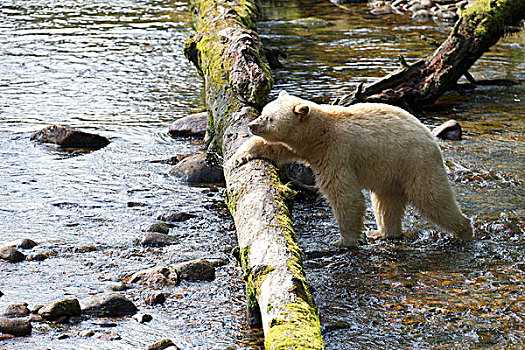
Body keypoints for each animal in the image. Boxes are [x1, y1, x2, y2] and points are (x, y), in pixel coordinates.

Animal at [228, 91, 470, 247]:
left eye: (269, 118)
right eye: (262, 111)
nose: (252, 125)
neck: (318, 135)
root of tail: (431, 138)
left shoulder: (335, 153)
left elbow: (345, 195)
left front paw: (344, 240)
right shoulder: (300, 147)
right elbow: (273, 147)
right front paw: (239, 157)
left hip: (415, 163)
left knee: (432, 198)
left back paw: (464, 230)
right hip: (390, 173)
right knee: (385, 203)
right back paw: (383, 233)